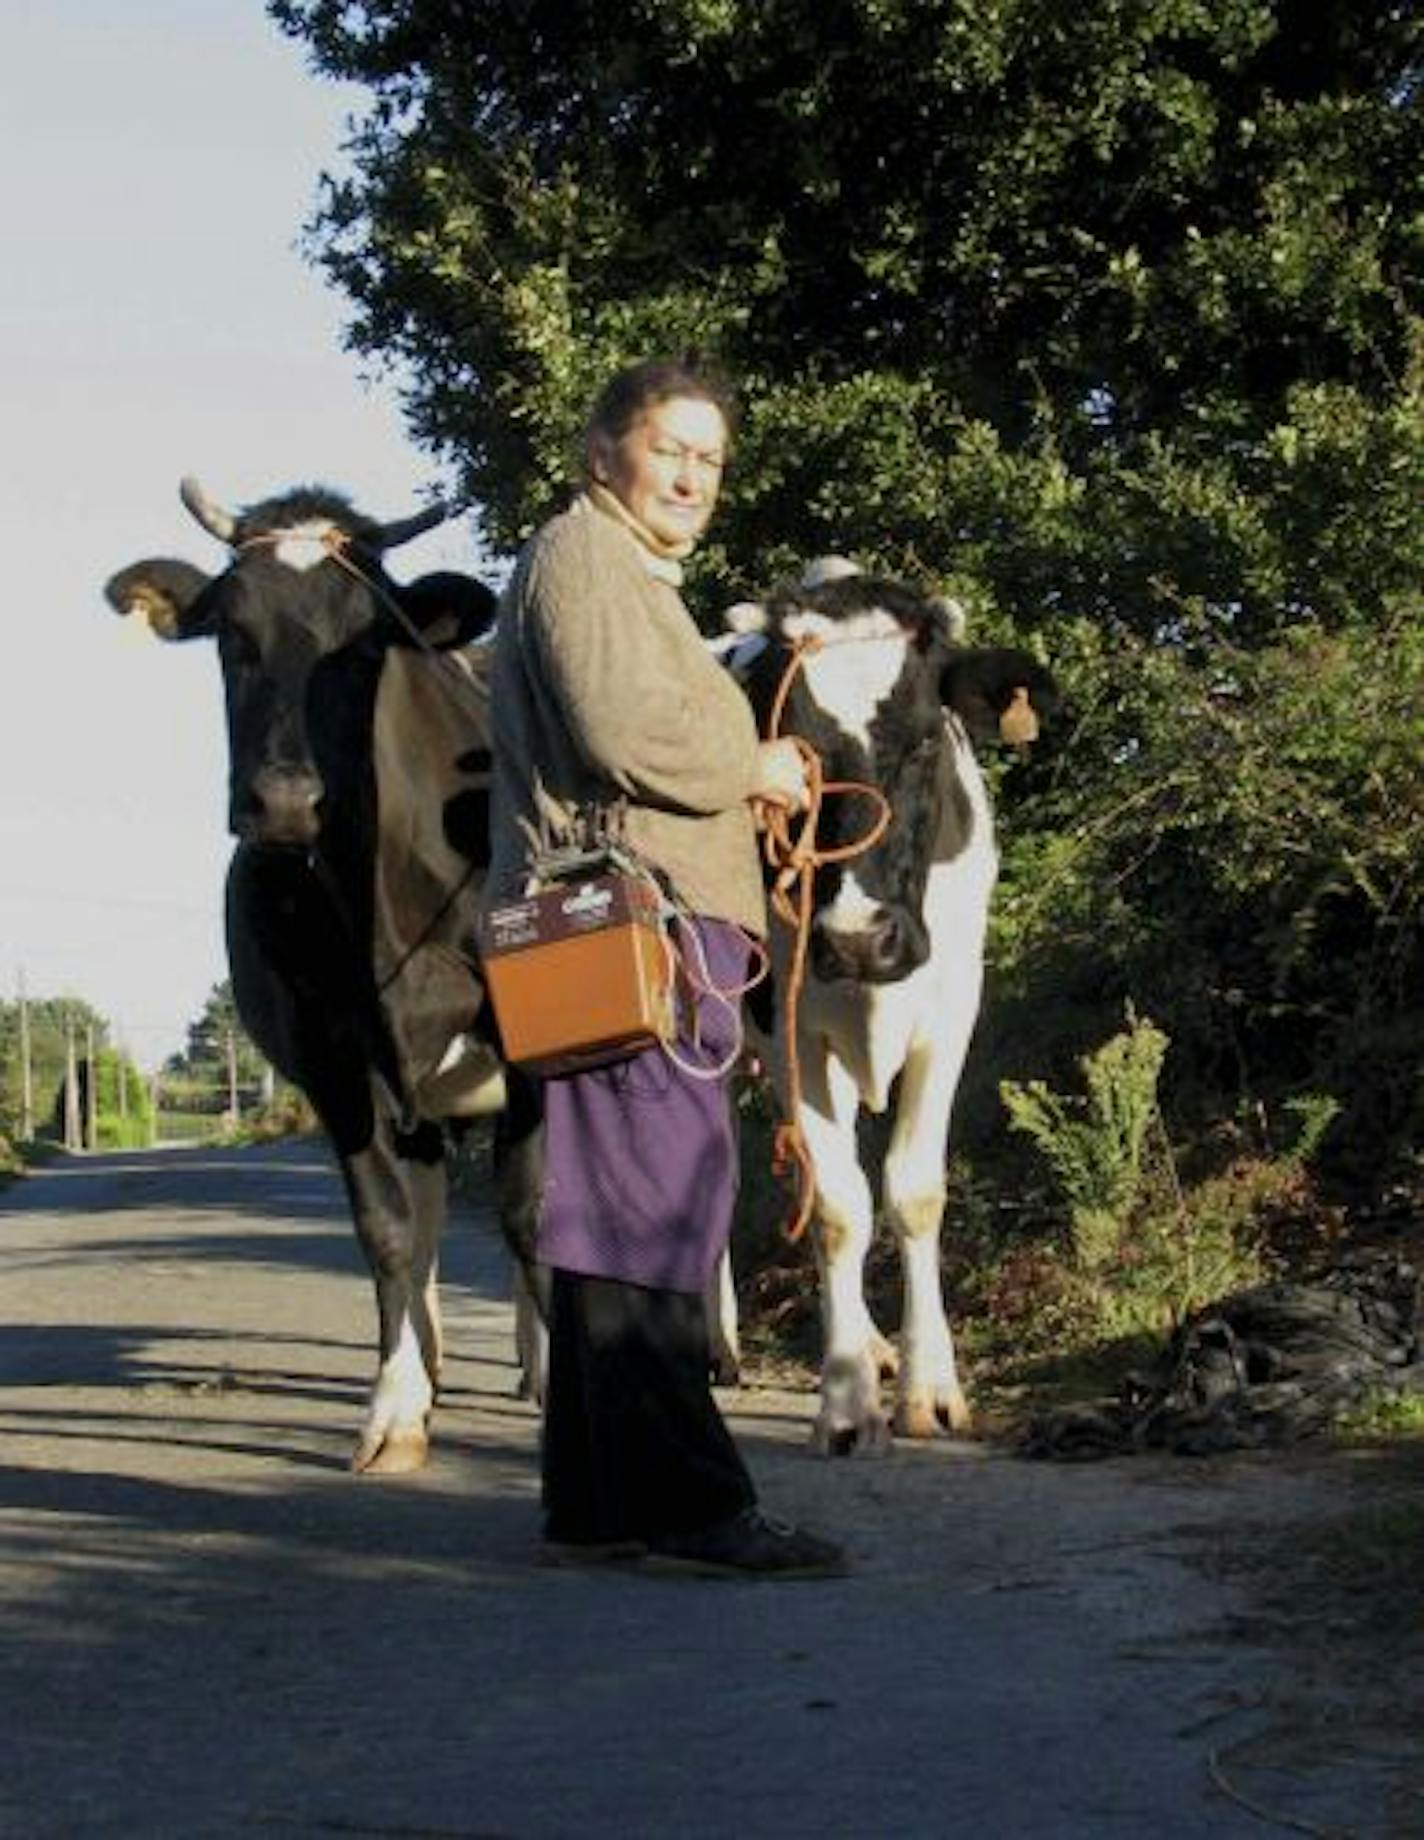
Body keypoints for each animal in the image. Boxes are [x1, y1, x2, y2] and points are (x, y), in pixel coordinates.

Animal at [732, 566, 1052, 1457]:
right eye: (793, 759)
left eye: (924, 744)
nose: (858, 939)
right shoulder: (790, 1034)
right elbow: (839, 1208)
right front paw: (845, 1404)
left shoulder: (951, 1012)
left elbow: (913, 1190)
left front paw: (928, 1388)